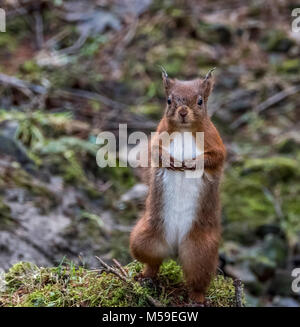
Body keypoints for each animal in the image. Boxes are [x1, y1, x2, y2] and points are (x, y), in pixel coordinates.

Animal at [129, 67, 225, 304]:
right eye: (169, 100)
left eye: (200, 101)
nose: (182, 112)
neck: (184, 130)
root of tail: (174, 246)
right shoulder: (158, 136)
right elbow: (154, 152)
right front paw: (171, 161)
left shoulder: (215, 142)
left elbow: (216, 157)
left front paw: (190, 163)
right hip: (146, 238)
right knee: (153, 261)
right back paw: (144, 277)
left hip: (200, 252)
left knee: (197, 279)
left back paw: (198, 298)